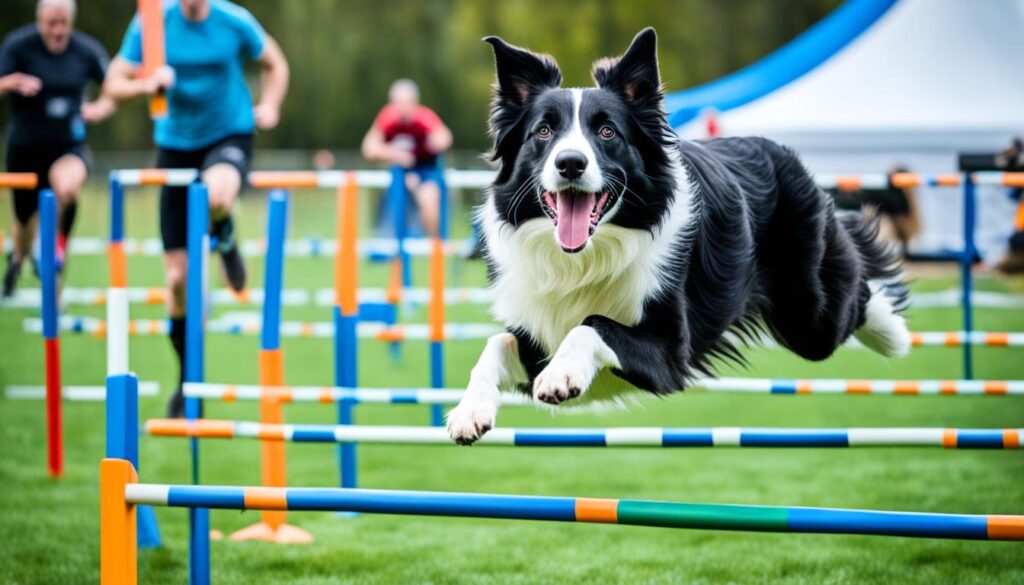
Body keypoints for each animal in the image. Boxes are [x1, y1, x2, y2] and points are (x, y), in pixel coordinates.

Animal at [444, 28, 909, 444]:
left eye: (607, 131)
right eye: (543, 131)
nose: (571, 163)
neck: (585, 256)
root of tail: (779, 150)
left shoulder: (669, 351)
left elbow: (593, 324)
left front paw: (560, 374)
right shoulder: (540, 334)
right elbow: (496, 342)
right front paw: (469, 412)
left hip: (806, 313)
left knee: (852, 294)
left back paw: (893, 332)